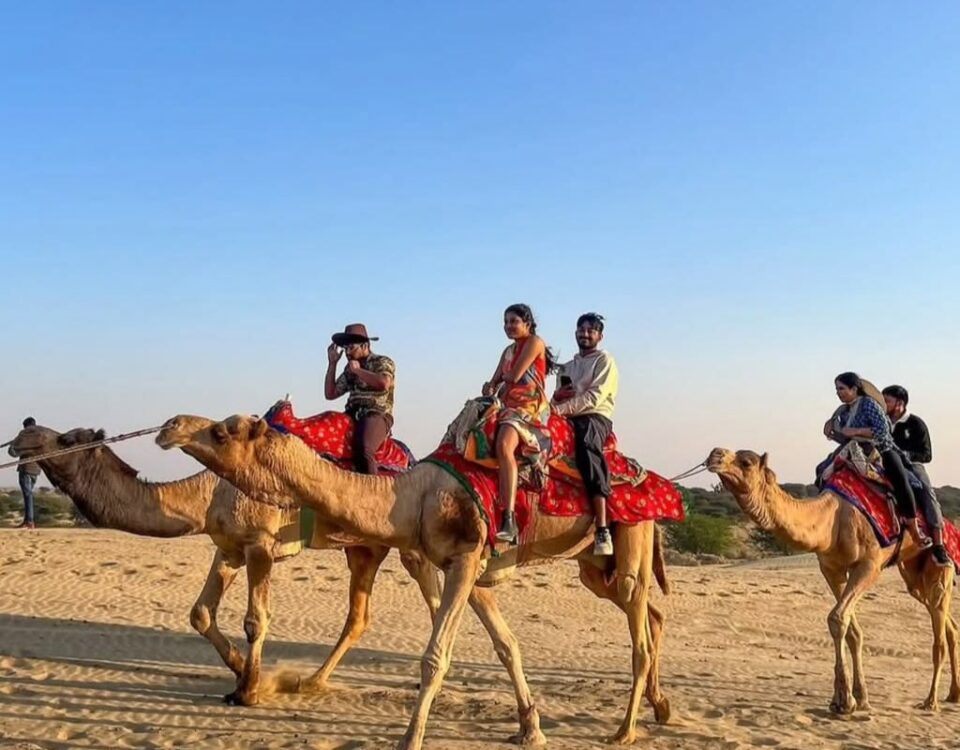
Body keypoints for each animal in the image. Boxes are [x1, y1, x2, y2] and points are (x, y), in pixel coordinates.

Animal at [7, 423, 442, 706]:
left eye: (65, 438)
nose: (22, 435)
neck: (207, 494)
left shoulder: (260, 544)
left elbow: (256, 620)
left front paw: (250, 690)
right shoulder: (228, 548)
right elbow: (200, 612)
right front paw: (237, 674)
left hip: (406, 544)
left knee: (432, 598)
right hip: (364, 548)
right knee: (360, 616)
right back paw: (312, 681)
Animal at [157, 412, 672, 749]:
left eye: (222, 430)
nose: (169, 426)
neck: (409, 496)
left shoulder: (465, 556)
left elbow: (434, 656)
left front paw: (410, 738)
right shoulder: (469, 566)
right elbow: (507, 645)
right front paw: (531, 727)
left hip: (633, 536)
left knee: (638, 624)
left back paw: (625, 730)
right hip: (594, 566)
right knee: (645, 608)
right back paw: (659, 707)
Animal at [707, 447, 960, 713]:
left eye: (746, 462)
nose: (715, 454)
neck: (832, 519)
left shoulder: (870, 565)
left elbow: (837, 618)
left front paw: (844, 701)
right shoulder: (831, 569)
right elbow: (851, 630)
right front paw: (859, 697)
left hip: (938, 566)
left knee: (939, 628)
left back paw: (930, 701)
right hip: (912, 573)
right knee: (948, 623)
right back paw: (953, 694)